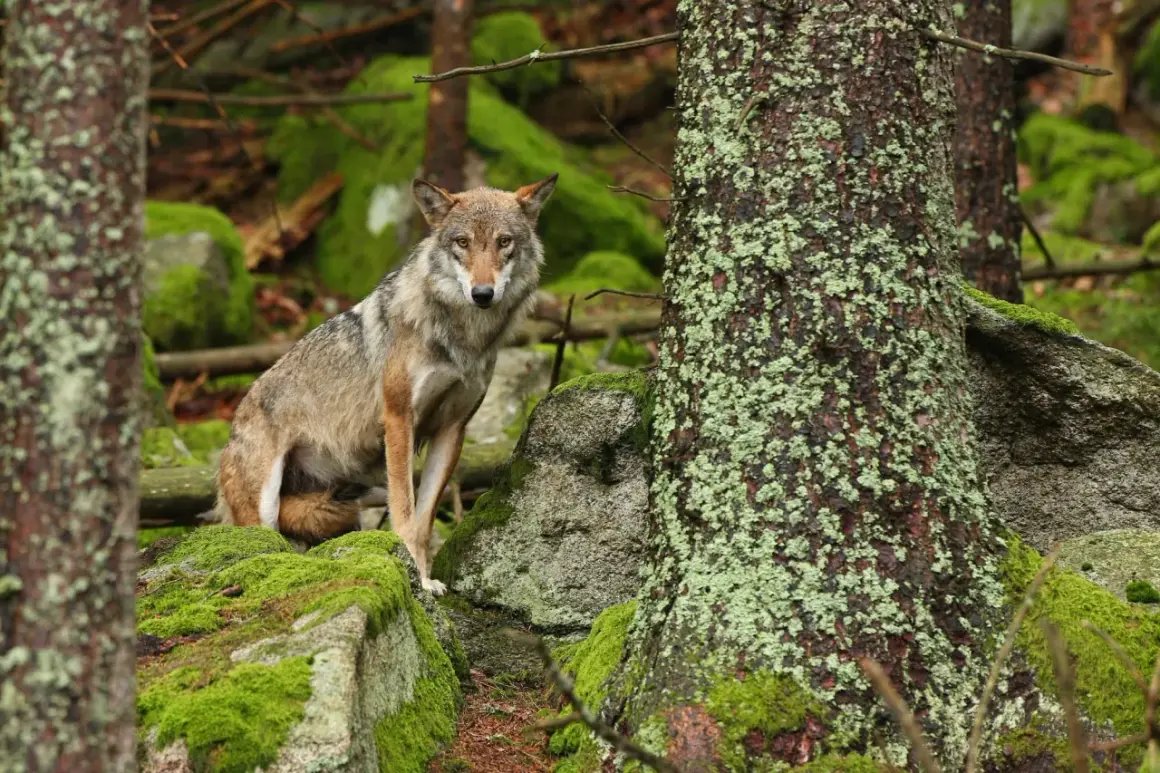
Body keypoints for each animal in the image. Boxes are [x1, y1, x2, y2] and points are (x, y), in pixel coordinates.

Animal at [212, 173, 558, 594]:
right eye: (462, 243)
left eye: (503, 241)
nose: (482, 293)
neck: (464, 339)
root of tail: (232, 427)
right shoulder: (398, 418)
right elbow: (405, 511)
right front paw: (417, 580)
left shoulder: (452, 429)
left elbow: (424, 521)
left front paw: (426, 579)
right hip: (265, 506)